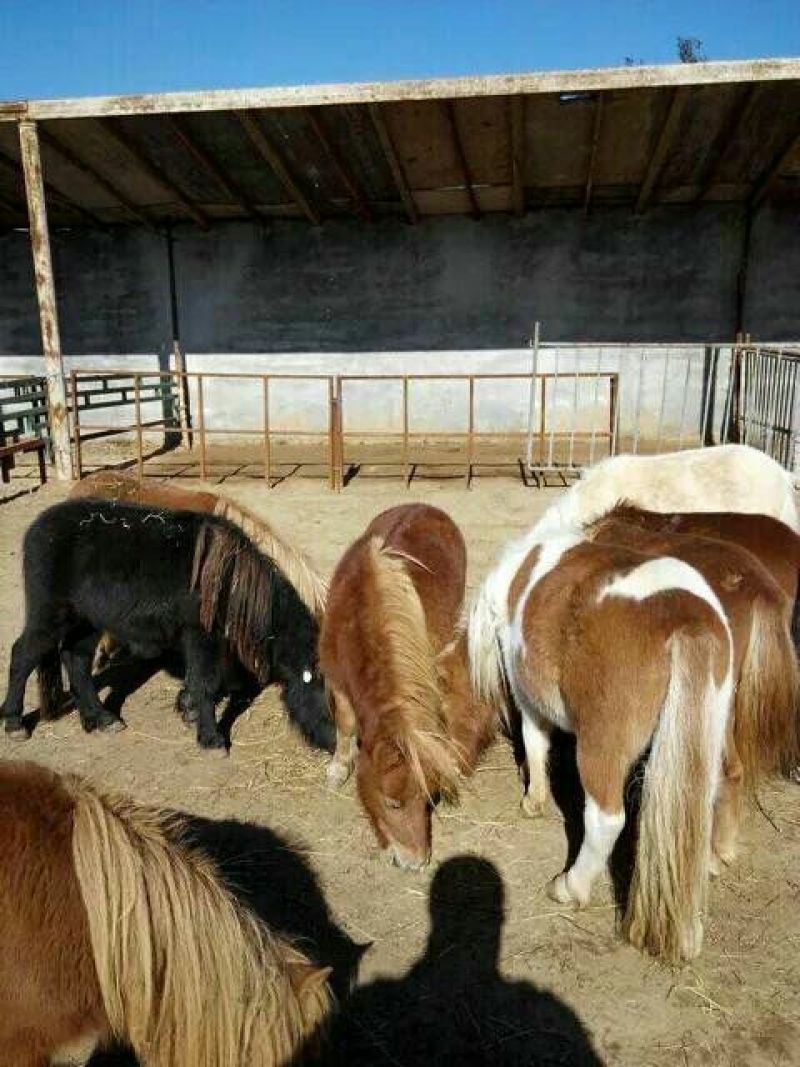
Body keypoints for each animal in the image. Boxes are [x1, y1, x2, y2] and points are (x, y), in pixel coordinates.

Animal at [1, 499, 334, 753]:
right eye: (330, 699)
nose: (339, 750)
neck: (231, 582)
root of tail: (38, 526)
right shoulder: (202, 635)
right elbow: (207, 681)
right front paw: (211, 738)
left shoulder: (205, 640)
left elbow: (207, 678)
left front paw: (189, 708)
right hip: (50, 615)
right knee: (23, 655)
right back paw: (14, 723)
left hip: (87, 620)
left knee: (76, 659)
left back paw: (101, 718)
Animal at [319, 504, 496, 870]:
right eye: (393, 803)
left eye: (430, 799)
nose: (416, 862)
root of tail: (426, 507)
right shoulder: (336, 680)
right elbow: (345, 724)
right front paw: (339, 768)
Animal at [468, 513, 735, 962]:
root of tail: (683, 621)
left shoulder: (528, 697)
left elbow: (535, 742)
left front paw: (533, 799)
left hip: (600, 750)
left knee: (605, 820)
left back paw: (570, 887)